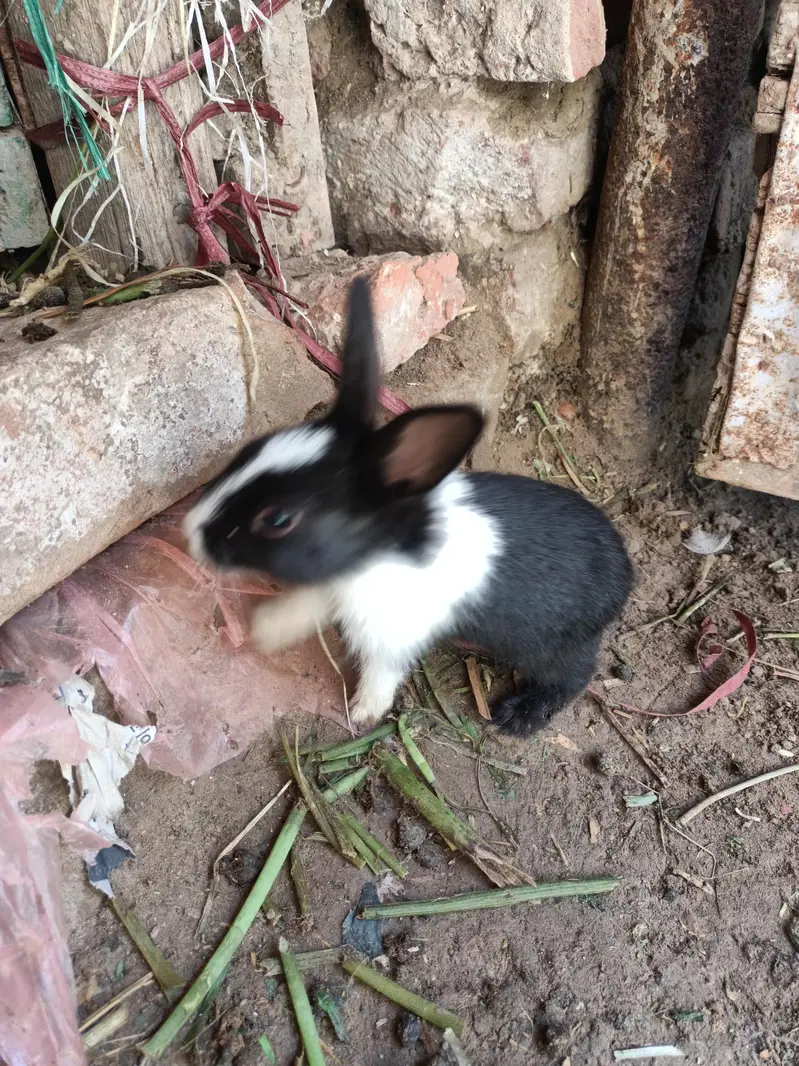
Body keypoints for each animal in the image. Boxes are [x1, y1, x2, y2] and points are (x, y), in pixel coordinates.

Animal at [184, 276, 633, 735]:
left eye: (277, 519)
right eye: (251, 450)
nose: (191, 532)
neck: (376, 550)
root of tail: (623, 573)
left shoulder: (390, 635)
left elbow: (381, 674)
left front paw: (363, 714)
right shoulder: (335, 587)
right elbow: (307, 605)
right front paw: (266, 631)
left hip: (548, 646)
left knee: (574, 677)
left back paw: (518, 716)